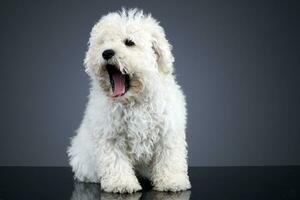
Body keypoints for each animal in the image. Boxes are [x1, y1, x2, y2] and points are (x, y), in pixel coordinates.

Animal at [67, 8, 190, 193]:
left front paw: (172, 181)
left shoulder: (168, 132)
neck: (134, 100)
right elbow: (115, 160)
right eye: (102, 42)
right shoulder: (110, 134)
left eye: (129, 42)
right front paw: (121, 183)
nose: (106, 52)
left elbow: (169, 158)